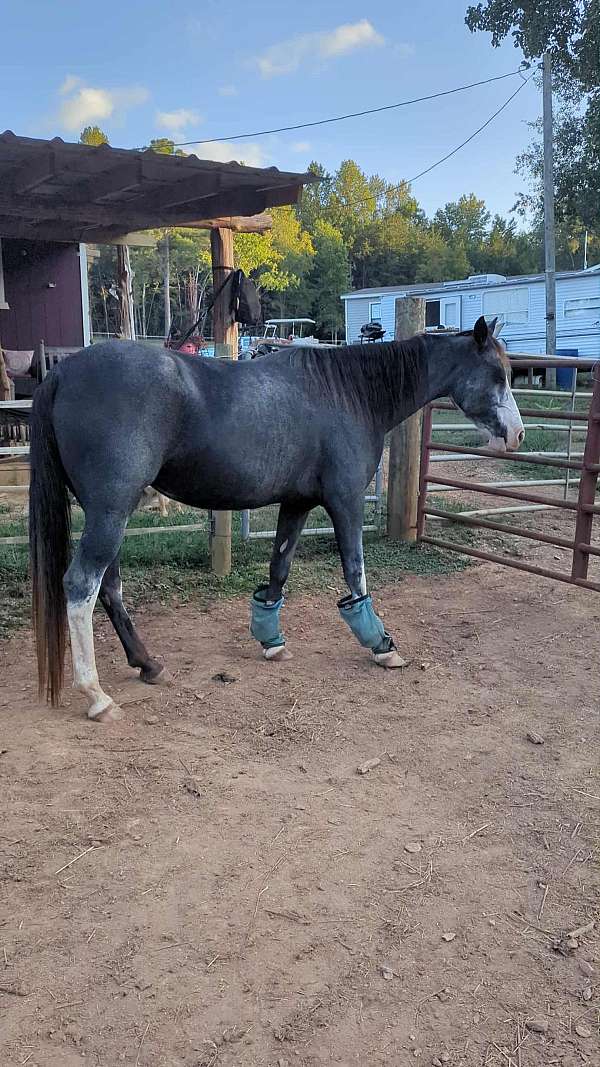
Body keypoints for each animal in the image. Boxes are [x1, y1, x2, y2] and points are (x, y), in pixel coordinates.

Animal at [28, 315, 524, 723]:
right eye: (497, 375)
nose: (517, 435)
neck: (347, 394)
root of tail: (63, 372)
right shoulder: (345, 501)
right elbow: (356, 571)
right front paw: (382, 645)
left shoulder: (297, 504)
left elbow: (279, 569)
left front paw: (271, 641)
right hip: (111, 510)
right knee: (82, 585)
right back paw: (96, 695)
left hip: (107, 511)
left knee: (109, 587)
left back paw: (148, 665)